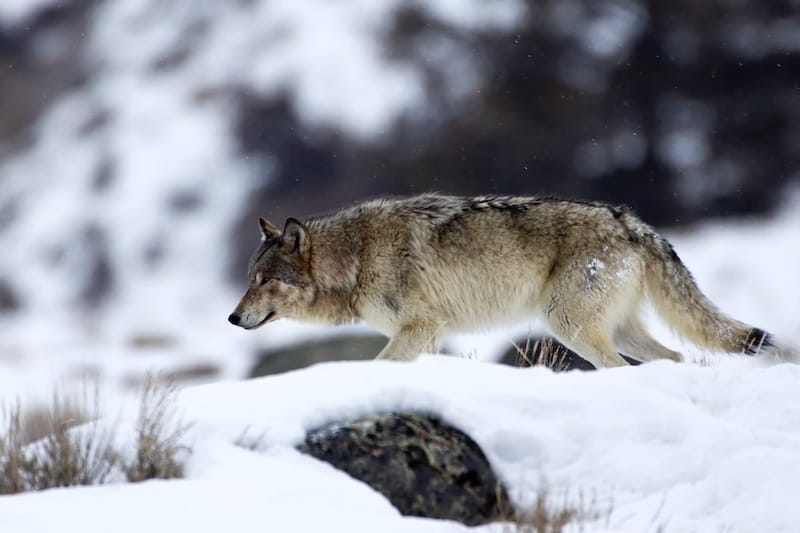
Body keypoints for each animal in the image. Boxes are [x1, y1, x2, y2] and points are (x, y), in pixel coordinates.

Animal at [228, 193, 772, 368]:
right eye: (248, 279)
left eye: (263, 280)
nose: (233, 317)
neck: (356, 257)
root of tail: (632, 222)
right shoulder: (430, 336)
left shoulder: (419, 329)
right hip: (616, 329)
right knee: (677, 358)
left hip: (568, 325)